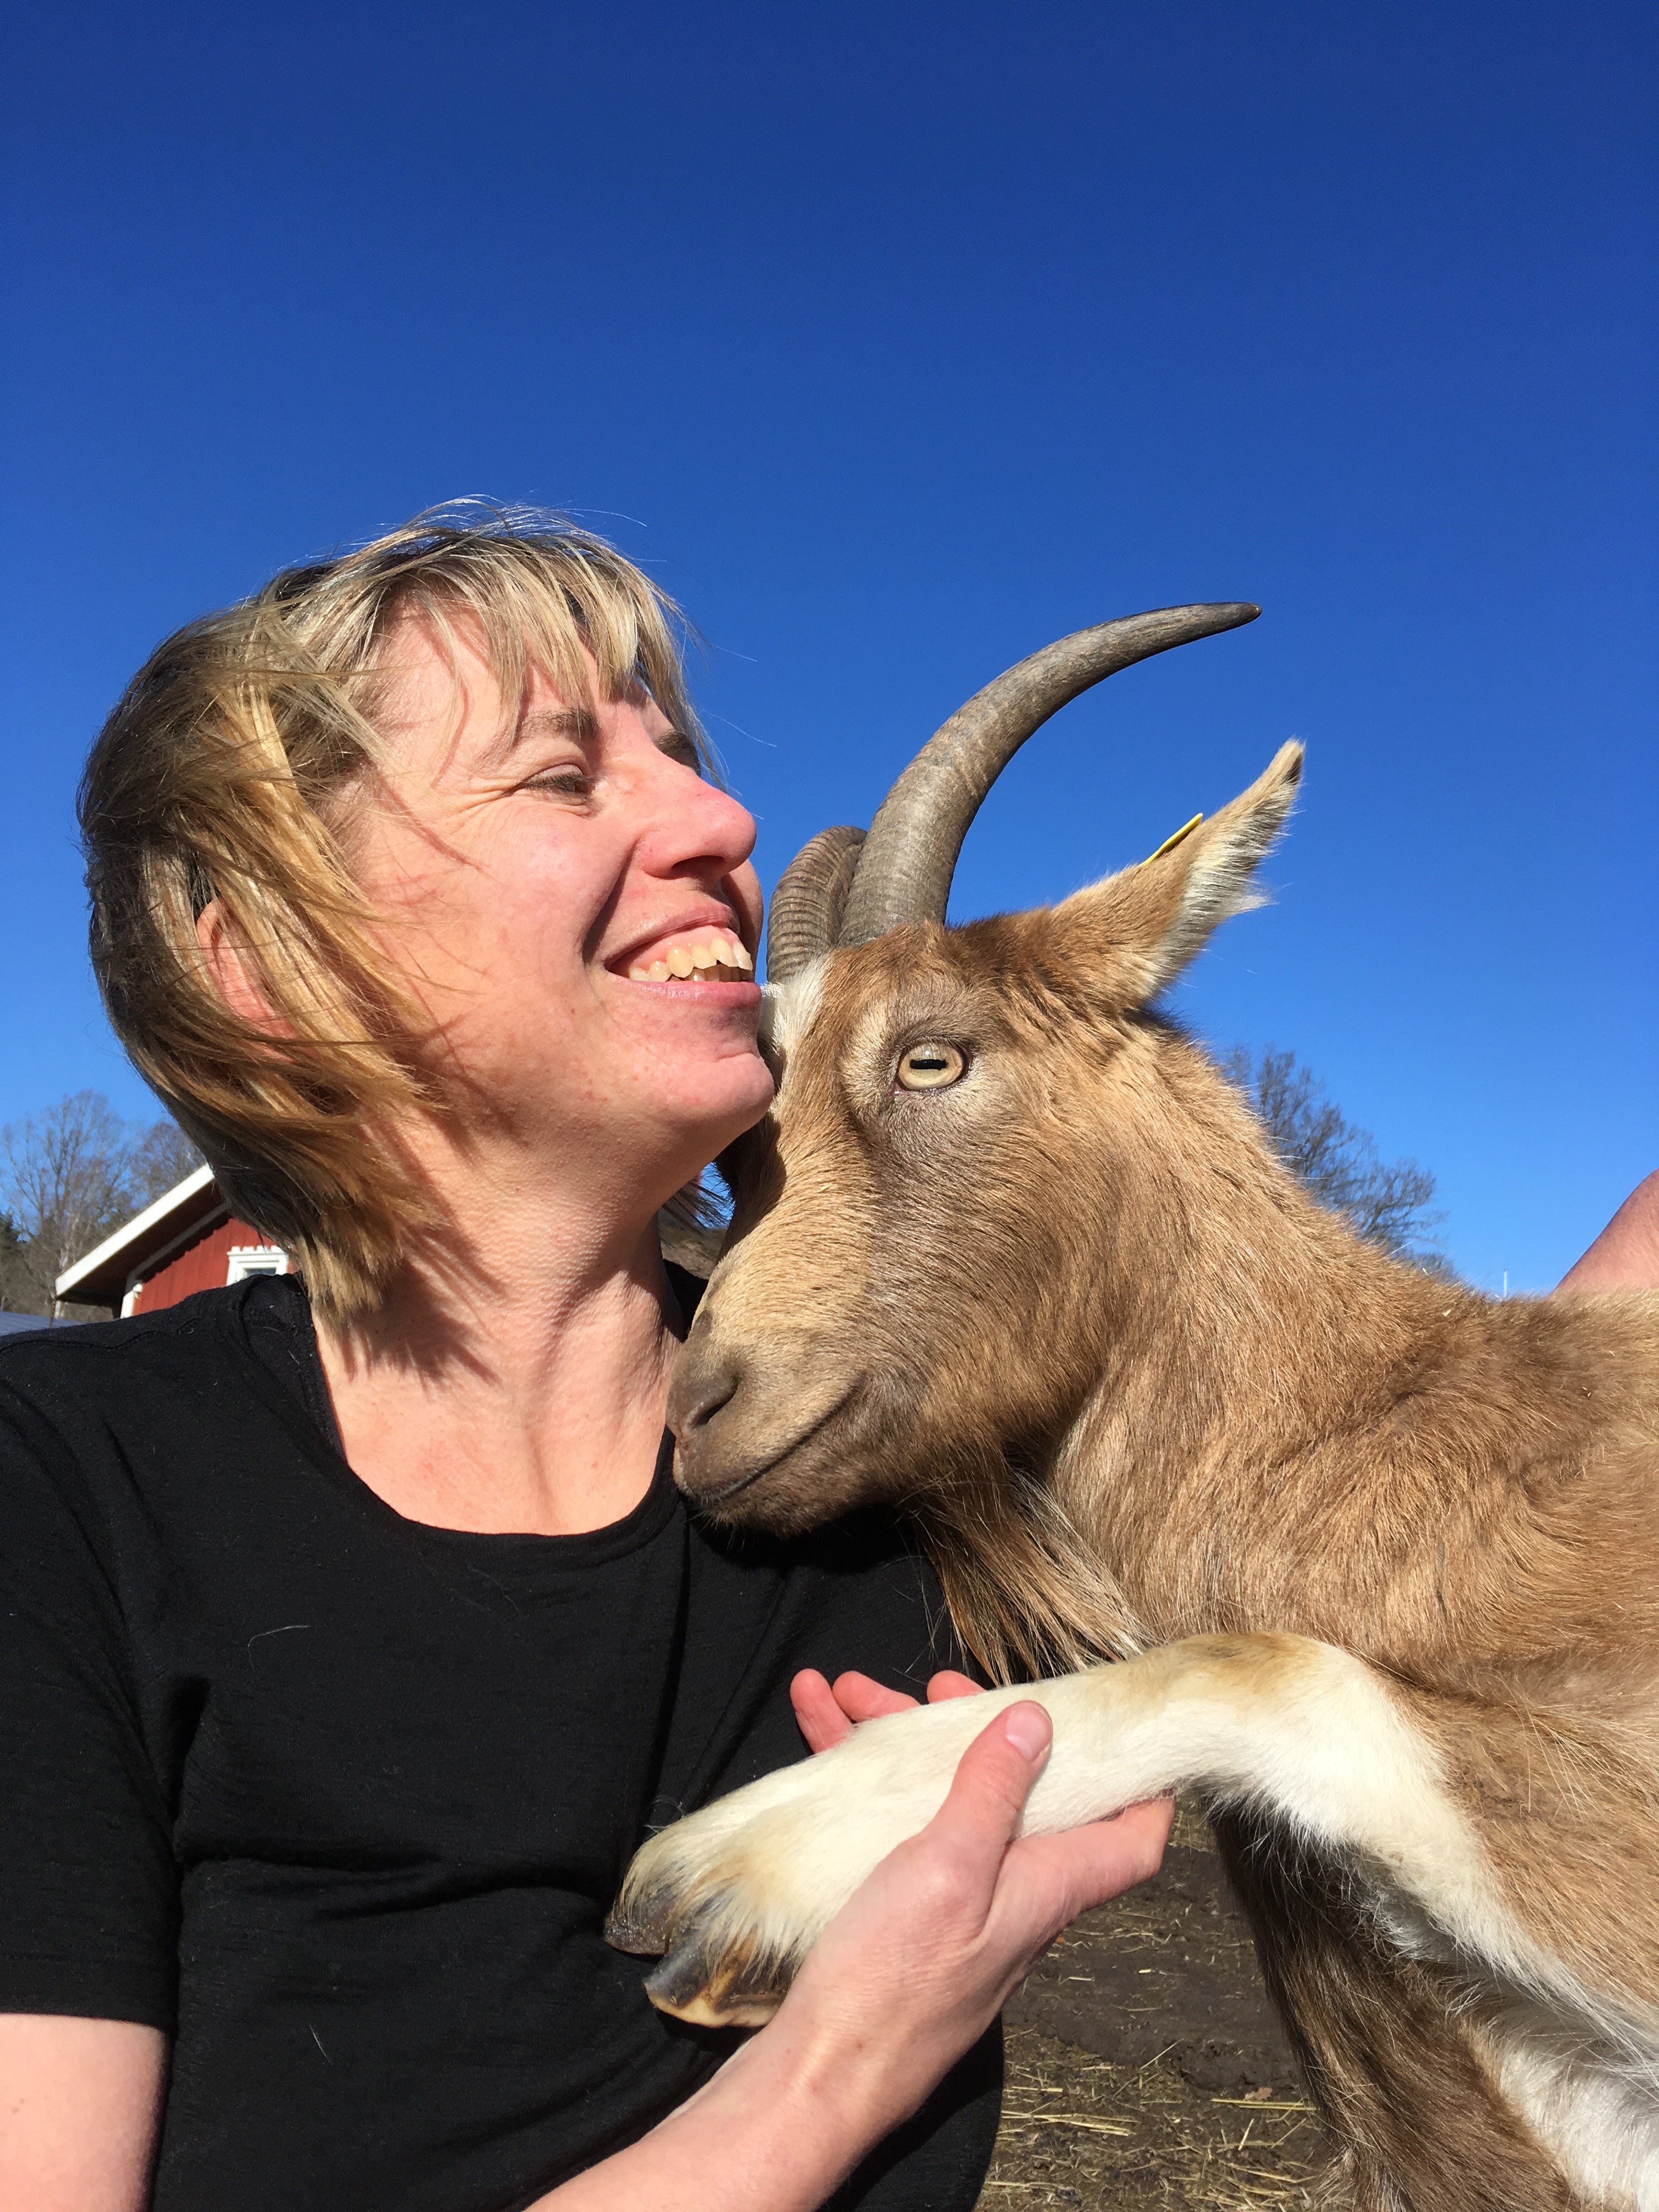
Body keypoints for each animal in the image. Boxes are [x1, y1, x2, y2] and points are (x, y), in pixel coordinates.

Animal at [610, 606, 1659, 2212]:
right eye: (742, 1145)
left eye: (933, 1054)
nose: (704, 1414)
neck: (1413, 1428)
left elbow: (1268, 1662)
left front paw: (748, 1864)